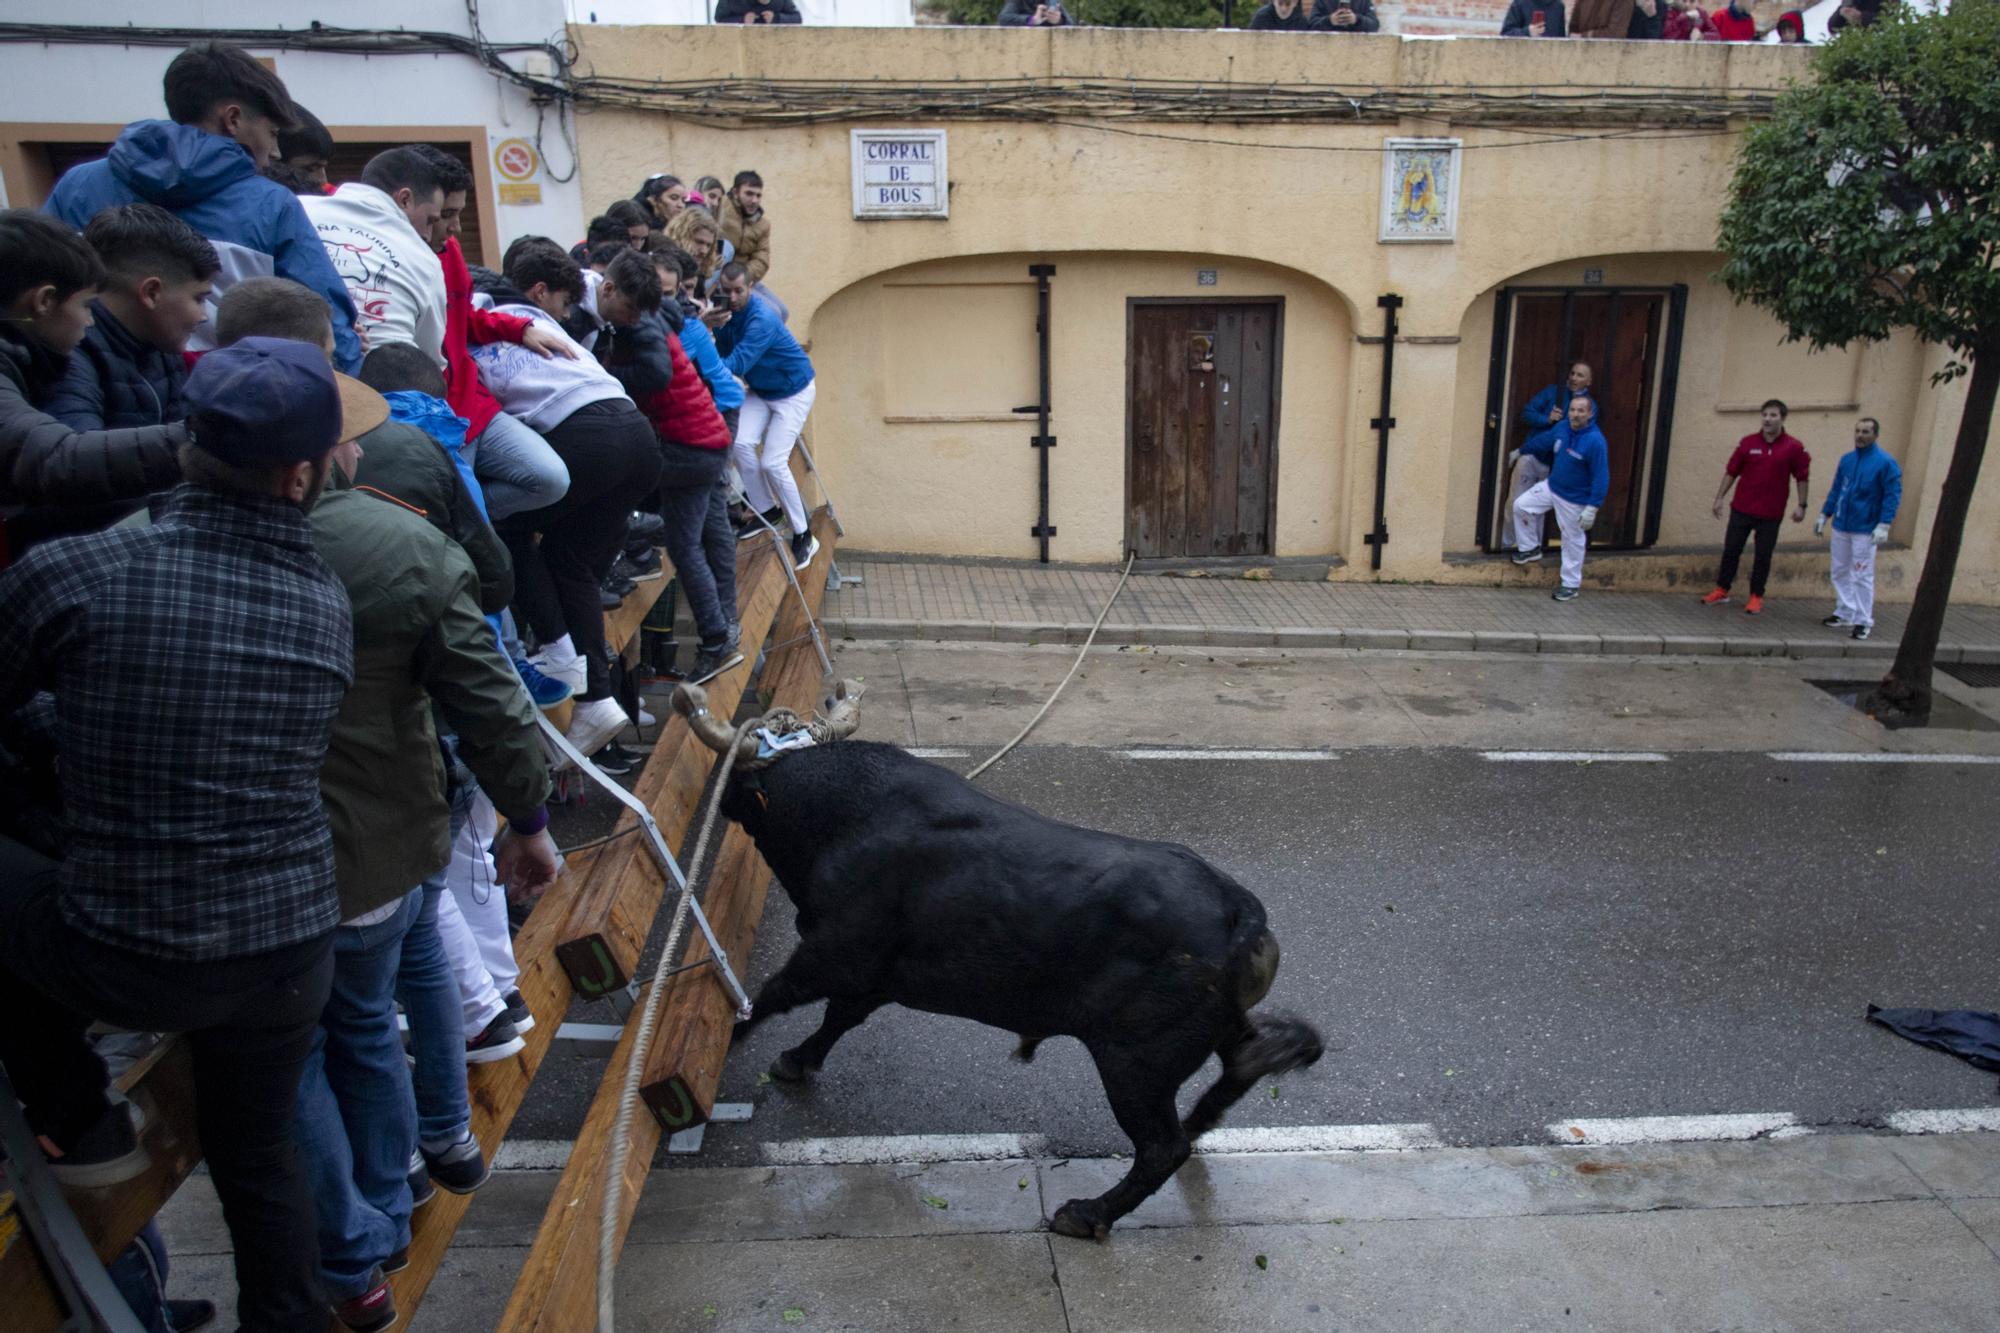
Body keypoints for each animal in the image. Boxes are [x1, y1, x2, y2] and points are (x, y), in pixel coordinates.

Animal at [680, 684, 1320, 1232]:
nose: (720, 795)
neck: (845, 813)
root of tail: (1241, 912)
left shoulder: (832, 952)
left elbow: (770, 997)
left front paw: (729, 1050)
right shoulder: (871, 976)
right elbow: (838, 1017)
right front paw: (796, 1059)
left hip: (1136, 1063)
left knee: (1163, 1148)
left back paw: (1088, 1214)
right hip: (1207, 1036)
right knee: (1241, 1070)